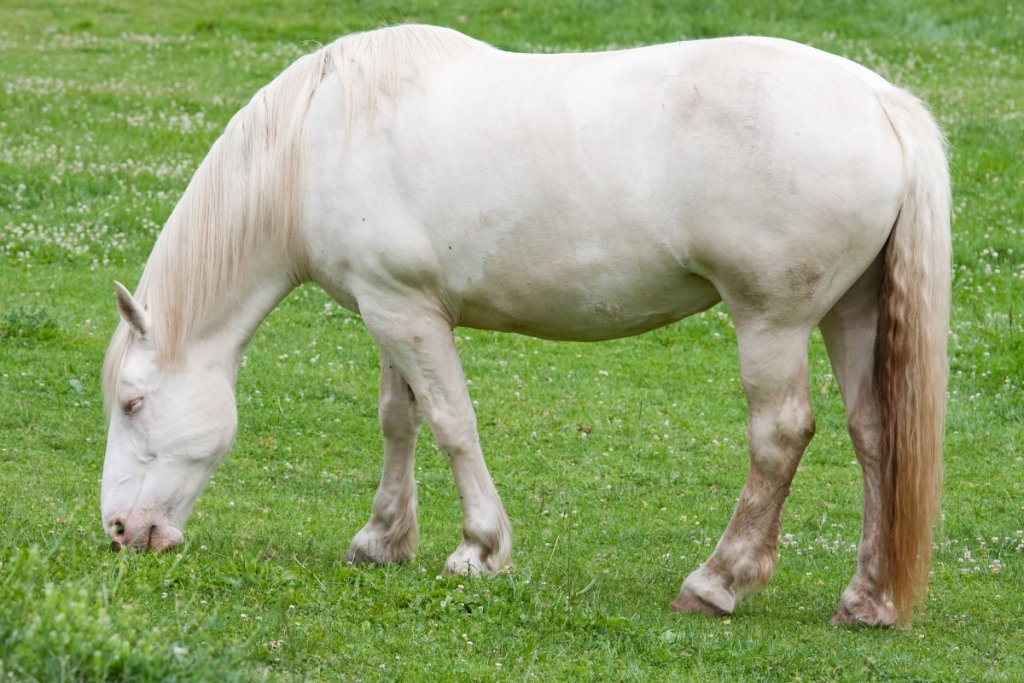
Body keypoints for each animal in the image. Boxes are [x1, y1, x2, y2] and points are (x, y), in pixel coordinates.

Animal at [100, 24, 950, 627]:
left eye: (133, 402)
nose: (121, 530)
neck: (323, 136)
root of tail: (880, 101)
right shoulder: (390, 308)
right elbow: (399, 419)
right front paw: (382, 539)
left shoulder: (406, 312)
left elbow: (450, 422)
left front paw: (479, 548)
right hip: (850, 313)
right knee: (874, 434)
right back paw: (866, 597)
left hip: (772, 322)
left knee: (779, 436)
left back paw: (716, 581)